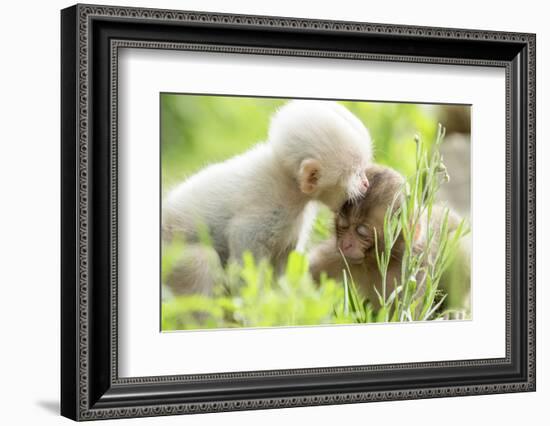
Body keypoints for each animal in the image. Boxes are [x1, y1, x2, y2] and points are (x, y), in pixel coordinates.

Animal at [162, 100, 374, 294]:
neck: (290, 183)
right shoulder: (262, 215)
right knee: (199, 261)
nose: (366, 184)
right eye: (356, 174)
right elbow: (246, 261)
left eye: (363, 170)